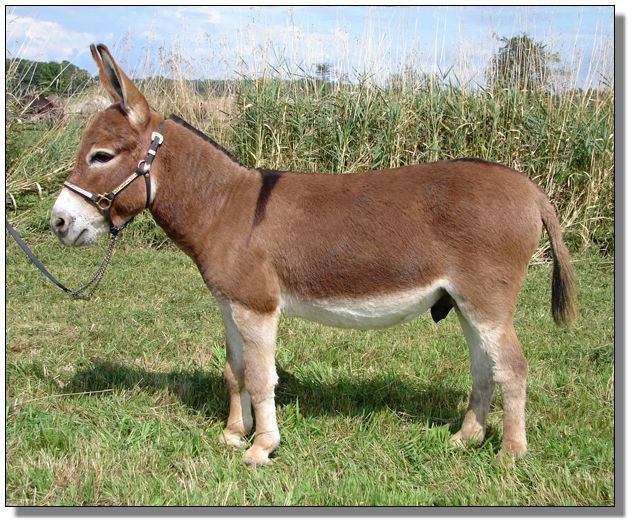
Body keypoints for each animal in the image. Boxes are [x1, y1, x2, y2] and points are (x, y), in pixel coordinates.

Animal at [50, 44, 576, 466]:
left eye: (100, 156)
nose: (57, 222)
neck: (225, 206)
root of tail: (531, 189)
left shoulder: (257, 307)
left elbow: (261, 377)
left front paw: (261, 448)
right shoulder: (229, 304)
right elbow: (234, 371)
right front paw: (232, 435)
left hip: (486, 299)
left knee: (512, 368)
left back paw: (510, 454)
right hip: (466, 303)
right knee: (484, 367)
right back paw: (466, 438)